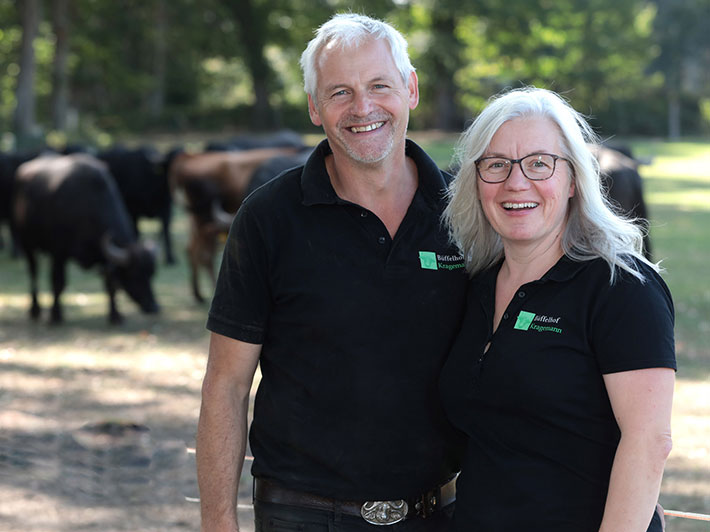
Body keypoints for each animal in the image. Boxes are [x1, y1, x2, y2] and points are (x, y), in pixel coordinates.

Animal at [12, 152, 160, 322]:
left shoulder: (103, 257)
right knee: (33, 272)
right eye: (135, 275)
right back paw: (35, 309)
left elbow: (110, 284)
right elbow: (58, 282)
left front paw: (115, 315)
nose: (154, 307)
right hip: (27, 243)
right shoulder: (58, 252)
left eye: (152, 274)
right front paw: (56, 315)